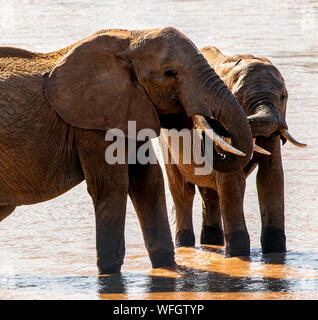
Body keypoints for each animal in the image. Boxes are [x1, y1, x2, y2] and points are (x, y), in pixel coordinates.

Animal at [0, 27, 255, 274]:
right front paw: (110, 273)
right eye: (169, 73)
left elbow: (148, 181)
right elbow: (112, 185)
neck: (129, 40)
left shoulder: (132, 107)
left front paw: (166, 267)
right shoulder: (94, 121)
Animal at [161, 45, 306, 256]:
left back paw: (212, 243)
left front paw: (275, 253)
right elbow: (231, 180)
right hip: (167, 147)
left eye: (283, 96)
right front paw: (238, 255)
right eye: (238, 99)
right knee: (183, 193)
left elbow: (271, 175)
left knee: (210, 195)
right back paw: (185, 245)